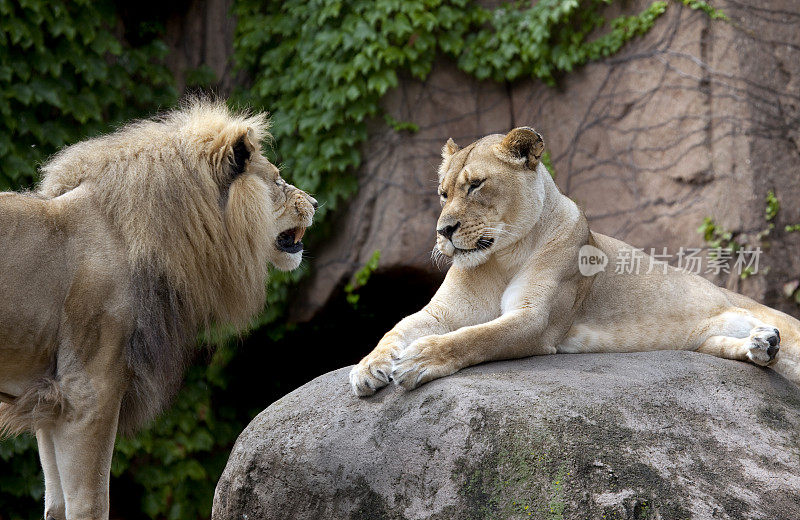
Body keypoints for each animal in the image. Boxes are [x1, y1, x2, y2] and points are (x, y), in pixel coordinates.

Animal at [0, 99, 318, 516]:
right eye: (278, 181)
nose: (315, 203)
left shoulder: (47, 399)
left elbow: (56, 505)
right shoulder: (86, 394)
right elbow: (89, 503)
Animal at [352, 128, 800, 396]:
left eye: (476, 185)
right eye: (443, 193)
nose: (443, 230)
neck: (499, 258)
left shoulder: (536, 321)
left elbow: (476, 338)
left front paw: (420, 359)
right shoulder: (441, 313)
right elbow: (397, 329)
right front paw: (369, 367)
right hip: (707, 341)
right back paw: (761, 345)